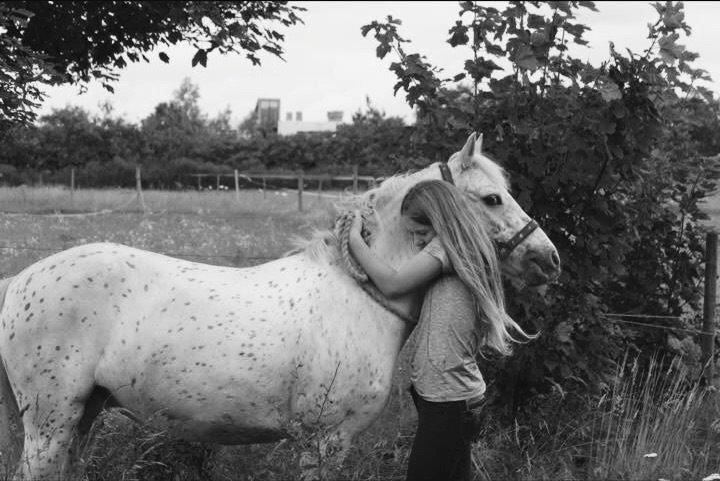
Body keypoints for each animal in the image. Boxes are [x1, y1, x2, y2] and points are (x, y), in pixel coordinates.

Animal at [0, 133, 564, 478]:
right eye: (491, 198)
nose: (548, 259)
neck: (357, 295)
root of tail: (19, 281)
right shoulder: (324, 442)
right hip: (50, 423)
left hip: (79, 417)